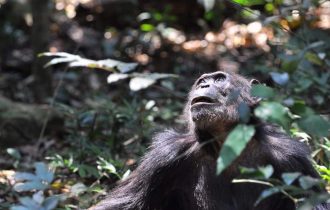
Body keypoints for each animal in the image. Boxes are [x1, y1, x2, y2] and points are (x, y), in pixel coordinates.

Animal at [90, 71, 330, 210]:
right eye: (201, 81)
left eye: (219, 79)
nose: (203, 86)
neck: (229, 145)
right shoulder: (164, 156)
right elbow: (125, 203)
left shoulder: (293, 159)